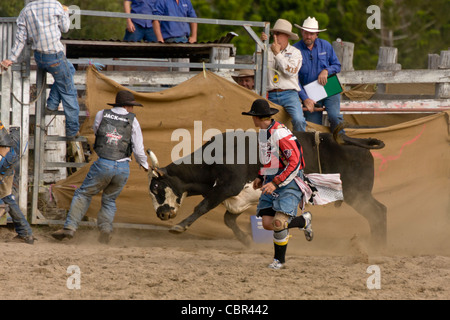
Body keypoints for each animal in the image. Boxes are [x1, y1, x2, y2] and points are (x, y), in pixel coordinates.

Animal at [148, 129, 386, 246]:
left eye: (158, 187)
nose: (161, 214)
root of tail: (354, 141)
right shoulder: (241, 197)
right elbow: (228, 219)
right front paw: (246, 240)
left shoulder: (228, 187)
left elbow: (203, 207)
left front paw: (180, 226)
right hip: (358, 194)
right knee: (378, 212)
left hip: (357, 193)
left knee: (378, 212)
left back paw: (378, 245)